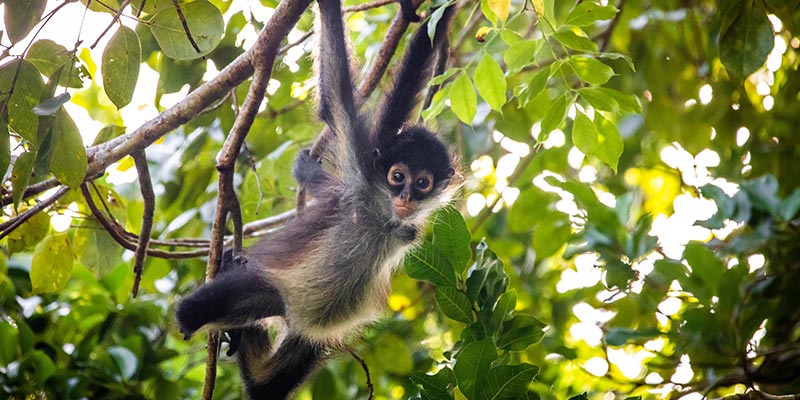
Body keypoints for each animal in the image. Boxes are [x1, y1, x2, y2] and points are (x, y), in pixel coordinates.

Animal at [175, 0, 459, 398]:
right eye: (397, 177)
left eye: (422, 183)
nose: (404, 196)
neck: (384, 218)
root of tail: (287, 312)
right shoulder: (361, 176)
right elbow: (334, 97)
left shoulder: (403, 224)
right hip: (269, 288)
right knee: (190, 314)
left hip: (302, 332)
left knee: (267, 387)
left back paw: (246, 341)